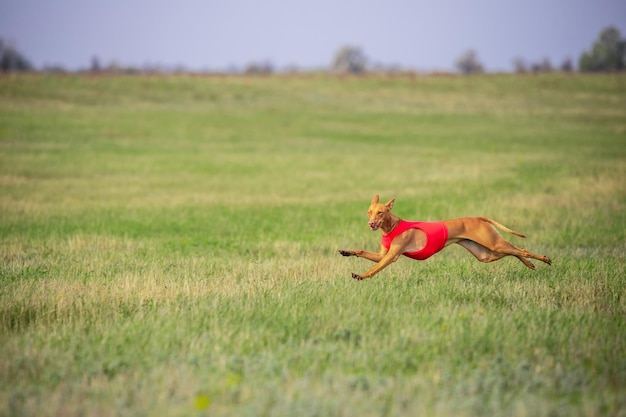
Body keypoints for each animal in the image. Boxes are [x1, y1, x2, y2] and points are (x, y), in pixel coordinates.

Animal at [338, 195, 548, 280]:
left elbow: (374, 269)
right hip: (486, 254)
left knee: (521, 249)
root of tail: (477, 217)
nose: (371, 223)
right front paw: (346, 251)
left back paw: (544, 259)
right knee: (514, 251)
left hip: (493, 244)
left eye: (380, 212)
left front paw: (361, 276)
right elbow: (361, 251)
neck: (392, 227)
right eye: (369, 212)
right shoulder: (382, 255)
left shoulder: (391, 257)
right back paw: (530, 264)